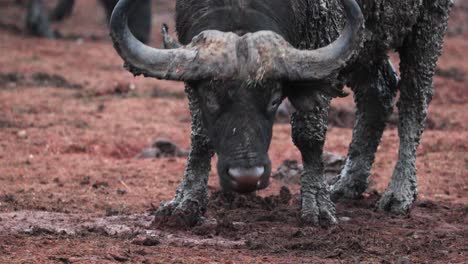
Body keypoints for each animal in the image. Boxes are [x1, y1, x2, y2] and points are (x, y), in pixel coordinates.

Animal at [109, 0, 454, 227]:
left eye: (275, 99)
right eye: (210, 97)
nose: (247, 176)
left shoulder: (320, 52)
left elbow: (309, 134)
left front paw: (317, 206)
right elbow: (201, 137)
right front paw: (185, 203)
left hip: (429, 24)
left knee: (414, 102)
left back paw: (399, 194)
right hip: (367, 42)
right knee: (377, 94)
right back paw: (347, 183)